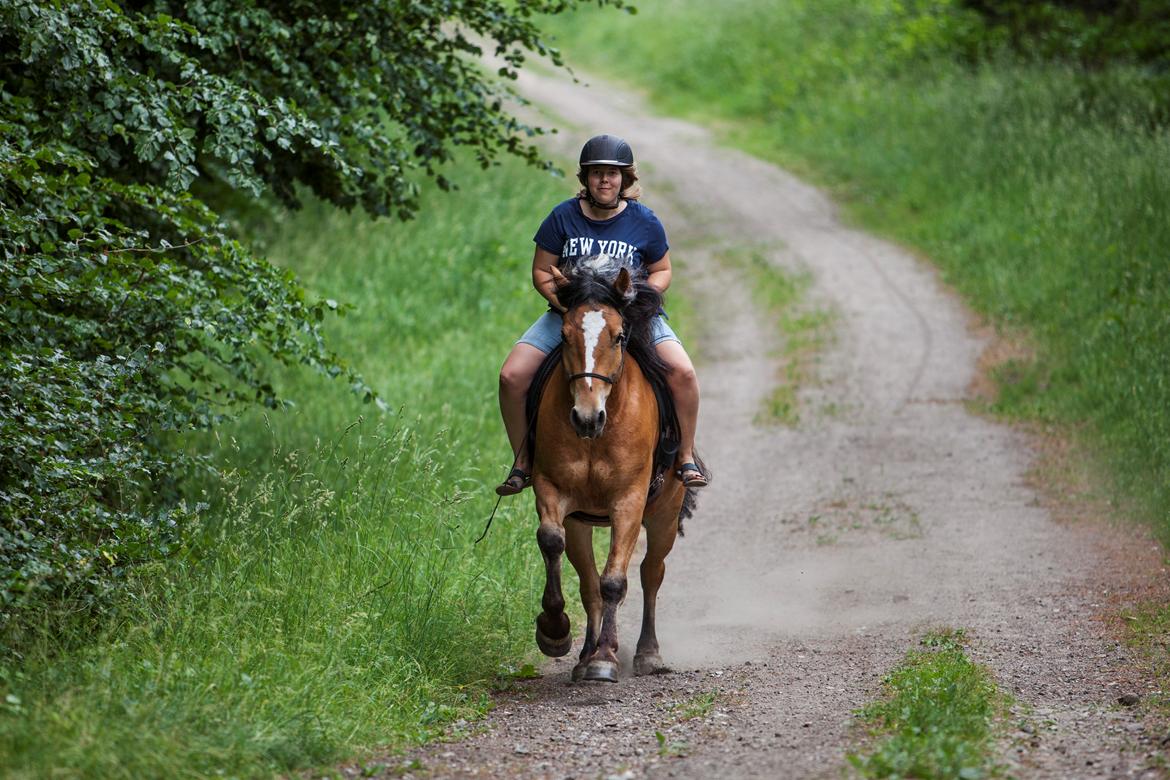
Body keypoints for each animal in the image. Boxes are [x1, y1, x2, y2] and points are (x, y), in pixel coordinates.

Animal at [531, 256, 702, 682]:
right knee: (587, 582)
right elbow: (553, 543)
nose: (586, 417)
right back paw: (583, 656)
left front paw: (606, 658)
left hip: (665, 515)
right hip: (581, 521)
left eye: (620, 336)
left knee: (650, 573)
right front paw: (555, 632)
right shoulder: (552, 490)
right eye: (564, 335)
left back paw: (647, 654)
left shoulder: (629, 501)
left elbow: (614, 581)